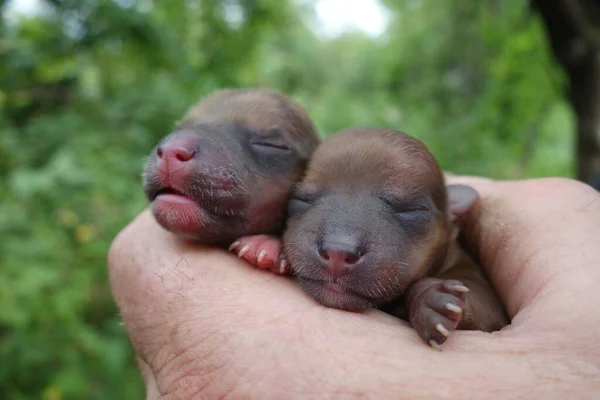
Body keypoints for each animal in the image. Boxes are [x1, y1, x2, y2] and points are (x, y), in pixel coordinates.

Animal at [232, 127, 508, 346]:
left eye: (410, 210)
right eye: (301, 199)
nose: (338, 252)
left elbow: (483, 303)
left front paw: (432, 300)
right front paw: (266, 246)